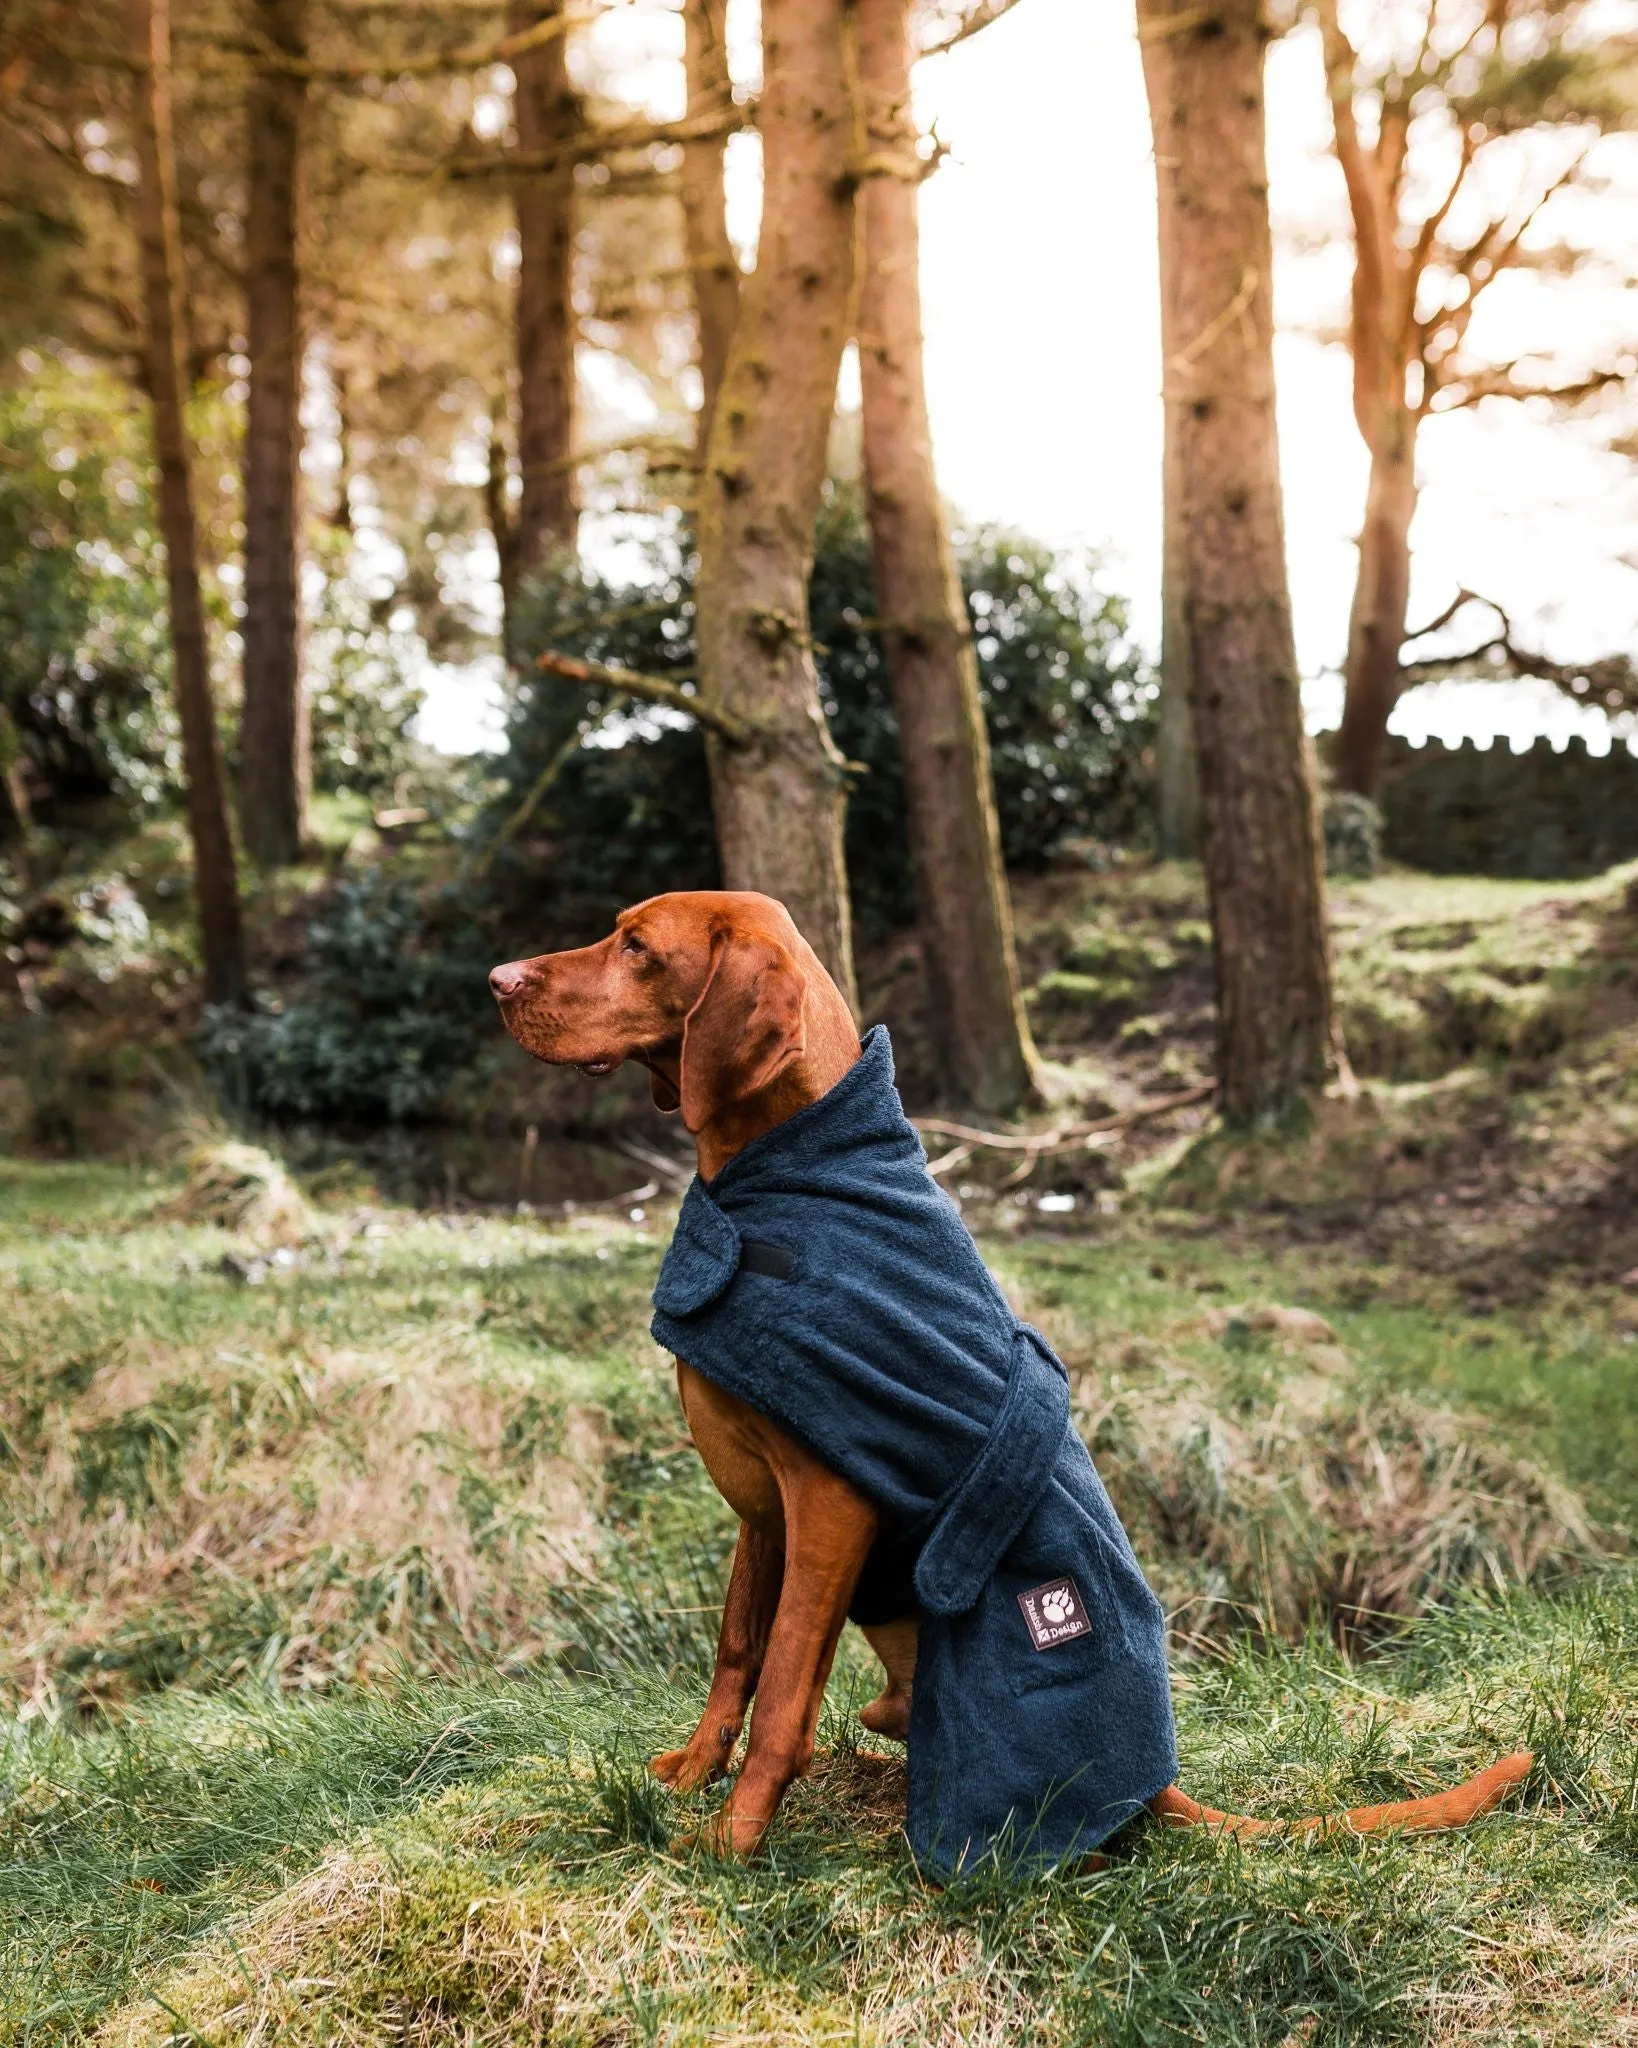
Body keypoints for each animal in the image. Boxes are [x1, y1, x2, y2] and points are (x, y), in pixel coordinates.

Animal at [489, 888, 1539, 1875]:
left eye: (637, 946)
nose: (498, 979)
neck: (775, 1179)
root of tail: (1154, 1783)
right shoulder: (764, 1511)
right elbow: (739, 1650)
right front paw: (693, 1773)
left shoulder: (830, 1501)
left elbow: (785, 1684)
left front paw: (732, 1840)